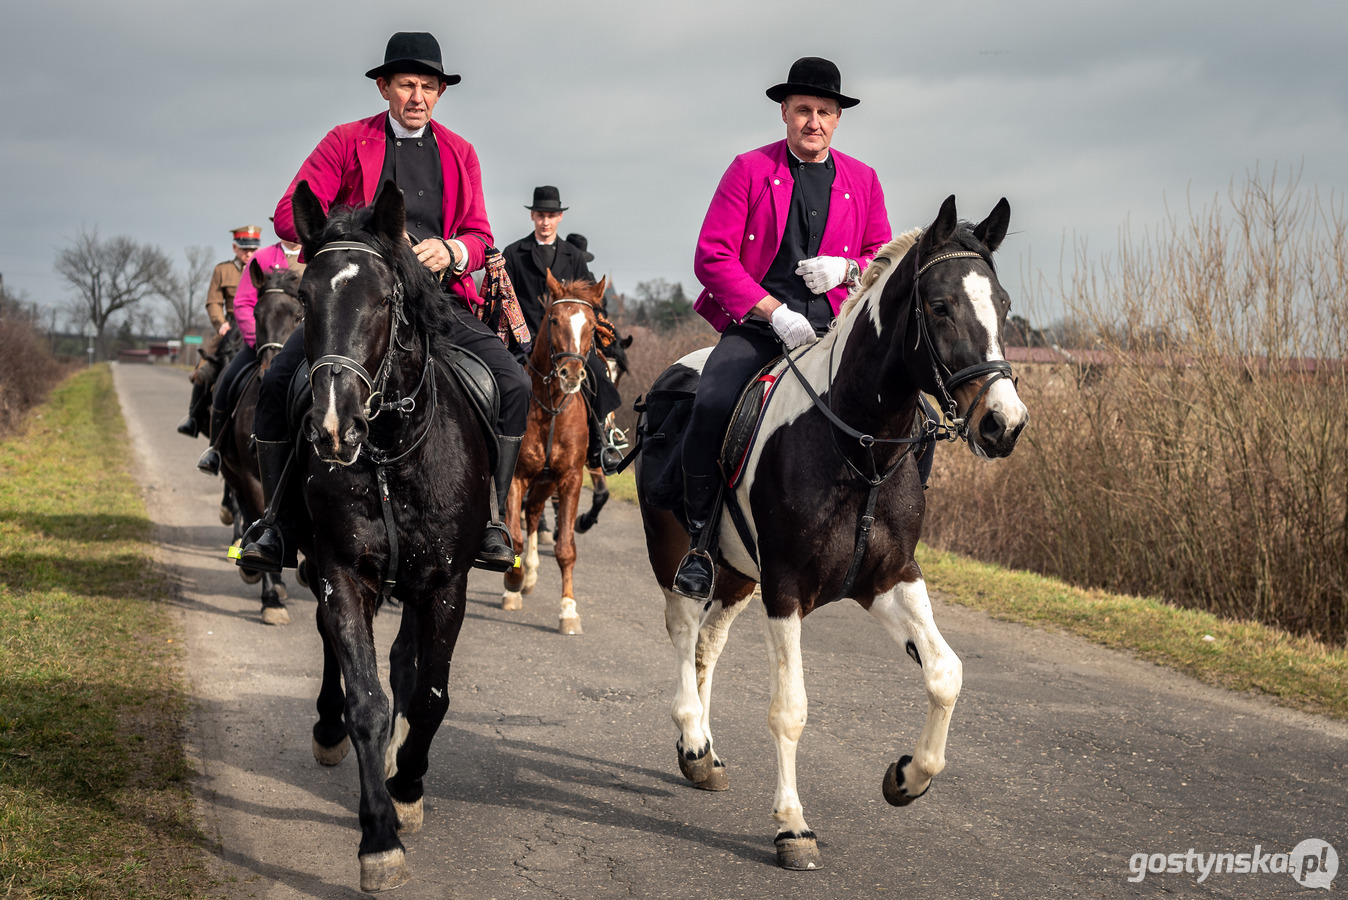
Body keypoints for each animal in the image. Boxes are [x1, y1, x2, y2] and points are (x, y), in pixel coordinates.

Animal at [287, 177, 493, 894]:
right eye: (303, 297)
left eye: (382, 300)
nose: (332, 428)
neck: (391, 454)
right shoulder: (343, 575)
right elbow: (367, 704)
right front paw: (378, 837)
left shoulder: (447, 585)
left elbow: (428, 694)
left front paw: (407, 787)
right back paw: (326, 729)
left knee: (409, 667)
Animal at [504, 272, 609, 633]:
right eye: (554, 320)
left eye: (591, 324)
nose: (571, 374)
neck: (549, 407)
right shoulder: (516, 477)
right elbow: (515, 537)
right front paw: (513, 584)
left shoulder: (570, 479)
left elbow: (565, 548)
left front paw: (568, 610)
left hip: (546, 481)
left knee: (535, 513)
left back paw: (532, 573)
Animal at [636, 196, 1024, 873]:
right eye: (940, 306)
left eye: (1002, 305)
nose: (1005, 423)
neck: (859, 449)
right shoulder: (787, 590)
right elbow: (789, 710)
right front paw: (792, 826)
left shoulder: (890, 579)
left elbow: (944, 673)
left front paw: (907, 777)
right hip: (679, 556)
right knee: (684, 635)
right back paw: (691, 737)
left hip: (737, 576)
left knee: (708, 644)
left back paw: (703, 753)